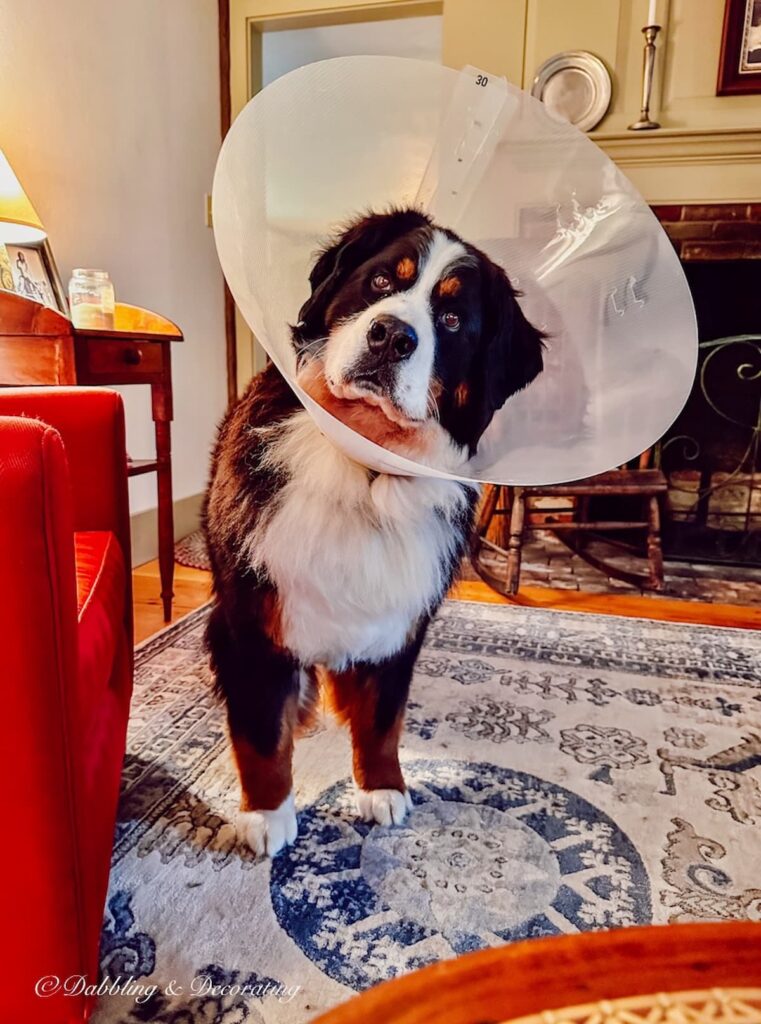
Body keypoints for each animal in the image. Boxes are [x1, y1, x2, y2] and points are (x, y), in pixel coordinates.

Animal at [205, 205, 544, 856]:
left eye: (453, 319)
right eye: (383, 280)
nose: (392, 335)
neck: (365, 465)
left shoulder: (402, 624)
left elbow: (383, 717)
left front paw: (382, 787)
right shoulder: (252, 620)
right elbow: (260, 730)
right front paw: (266, 813)